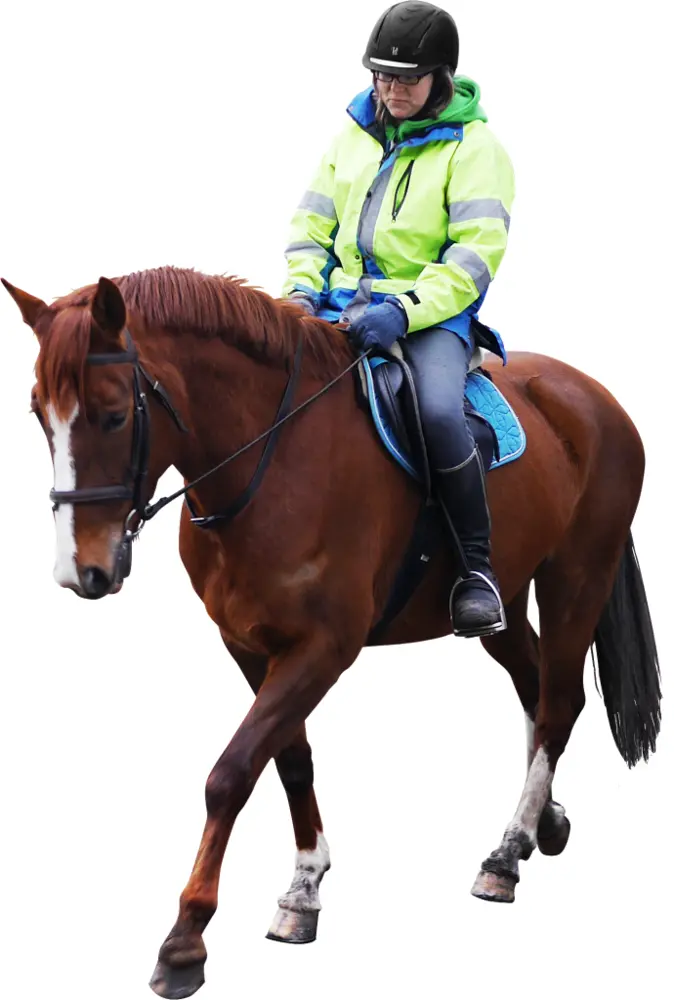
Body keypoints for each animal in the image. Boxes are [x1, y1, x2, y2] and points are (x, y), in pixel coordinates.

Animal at [2, 266, 660, 1000]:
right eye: (38, 413)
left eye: (115, 413)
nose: (80, 571)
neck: (273, 458)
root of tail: (592, 396)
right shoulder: (249, 644)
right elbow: (288, 760)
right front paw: (303, 890)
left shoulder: (323, 649)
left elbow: (232, 771)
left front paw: (185, 941)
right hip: (506, 600)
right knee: (535, 683)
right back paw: (543, 819)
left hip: (578, 576)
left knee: (558, 704)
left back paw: (506, 854)